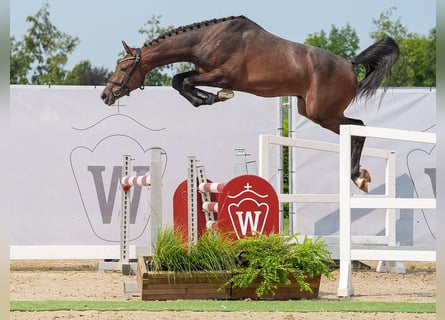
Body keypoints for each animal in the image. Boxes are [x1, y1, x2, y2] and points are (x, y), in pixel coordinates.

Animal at [100, 15, 398, 192]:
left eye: (123, 67)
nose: (106, 95)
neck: (208, 39)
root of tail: (349, 63)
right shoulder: (205, 72)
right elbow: (180, 80)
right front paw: (208, 98)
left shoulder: (222, 74)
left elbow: (181, 81)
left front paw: (215, 97)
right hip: (313, 112)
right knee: (355, 128)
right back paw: (358, 175)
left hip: (323, 112)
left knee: (359, 127)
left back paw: (358, 176)